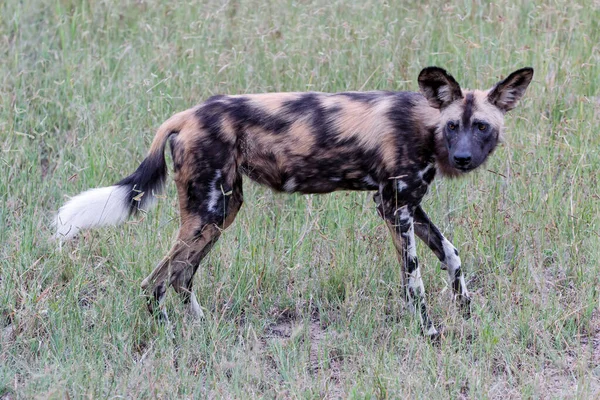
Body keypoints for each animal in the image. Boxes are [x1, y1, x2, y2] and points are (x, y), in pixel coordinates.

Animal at [56, 67, 532, 336]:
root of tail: (187, 114)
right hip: (208, 213)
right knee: (154, 281)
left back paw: (201, 326)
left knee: (179, 276)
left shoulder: (410, 206)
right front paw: (430, 333)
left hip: (221, 212)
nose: (463, 158)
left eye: (482, 126)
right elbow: (413, 282)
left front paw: (467, 312)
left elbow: (452, 255)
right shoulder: (393, 207)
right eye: (453, 126)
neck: (425, 125)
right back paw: (172, 337)